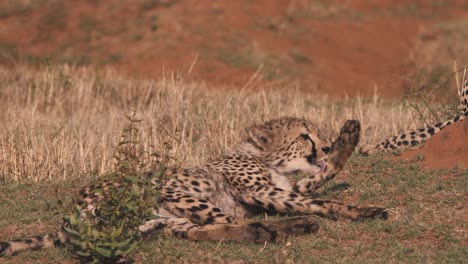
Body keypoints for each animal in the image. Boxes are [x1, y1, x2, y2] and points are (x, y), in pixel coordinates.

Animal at [0, 118, 388, 258]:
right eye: (304, 135)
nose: (323, 145)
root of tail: (69, 219)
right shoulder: (260, 191)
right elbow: (319, 199)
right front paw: (359, 210)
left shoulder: (280, 188)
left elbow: (319, 178)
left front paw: (348, 137)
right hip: (171, 194)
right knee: (232, 223)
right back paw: (286, 228)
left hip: (165, 223)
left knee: (208, 231)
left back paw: (270, 231)